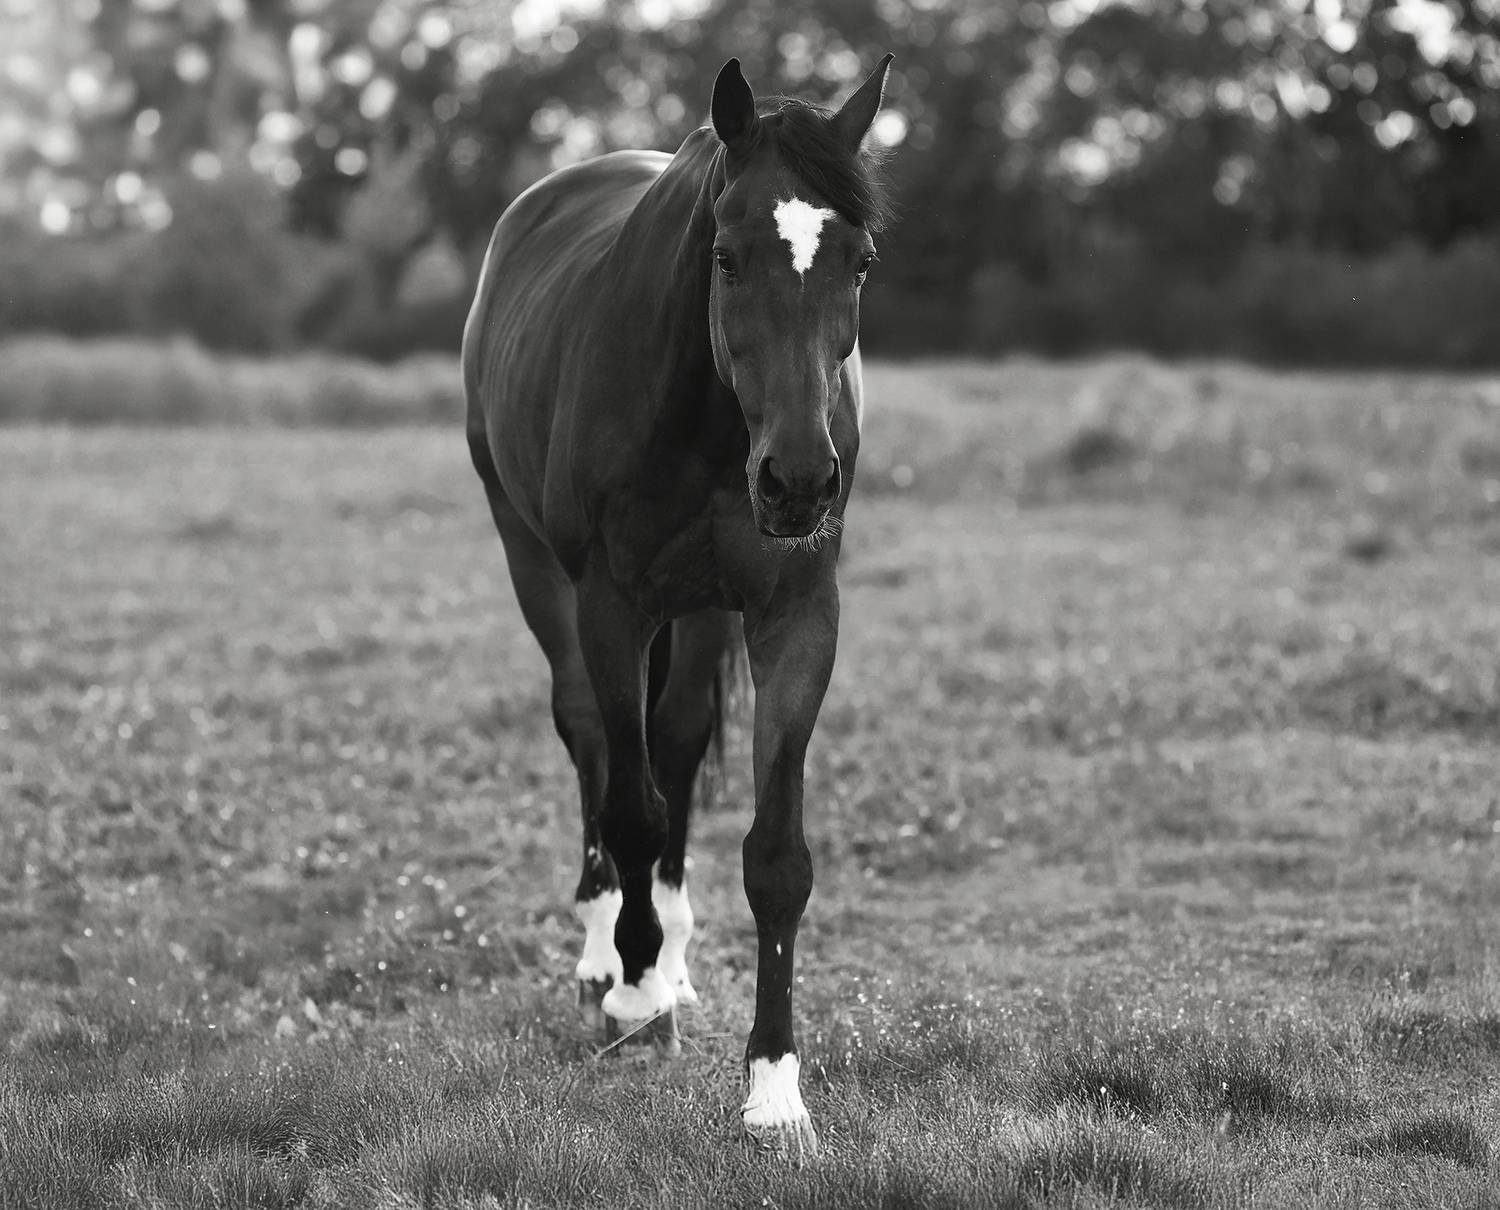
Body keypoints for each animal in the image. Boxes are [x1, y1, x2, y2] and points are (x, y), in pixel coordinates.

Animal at [461, 53, 894, 1161]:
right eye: (727, 257)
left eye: (859, 261)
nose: (799, 481)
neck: (711, 422)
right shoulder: (612, 605)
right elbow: (629, 797)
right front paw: (631, 994)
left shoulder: (797, 611)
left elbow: (774, 854)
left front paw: (775, 1089)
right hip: (535, 563)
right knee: (592, 739)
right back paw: (609, 951)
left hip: (703, 611)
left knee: (682, 735)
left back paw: (671, 947)